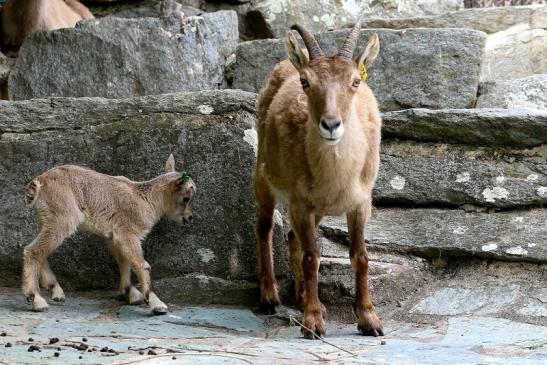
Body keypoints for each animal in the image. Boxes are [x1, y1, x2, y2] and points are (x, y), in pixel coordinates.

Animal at [22, 154, 197, 312]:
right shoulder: (127, 232)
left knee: (39, 250)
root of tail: (39, 183)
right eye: (186, 198)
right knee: (33, 250)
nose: (189, 218)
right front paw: (156, 304)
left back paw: (55, 291)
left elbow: (124, 261)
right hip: (63, 217)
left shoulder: (113, 237)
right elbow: (141, 264)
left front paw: (131, 294)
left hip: (48, 219)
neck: (146, 200)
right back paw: (37, 299)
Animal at [255, 19, 384, 336]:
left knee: (292, 237)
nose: (331, 124)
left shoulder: (360, 202)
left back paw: (303, 296)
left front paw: (369, 319)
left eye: (355, 81)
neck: (338, 176)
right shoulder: (300, 202)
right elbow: (312, 256)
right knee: (264, 228)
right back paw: (270, 296)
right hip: (264, 176)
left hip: (319, 209)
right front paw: (313, 321)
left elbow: (360, 256)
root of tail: (290, 61)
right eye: (306, 82)